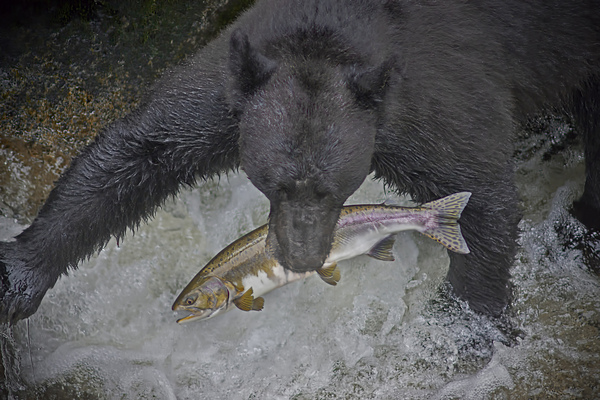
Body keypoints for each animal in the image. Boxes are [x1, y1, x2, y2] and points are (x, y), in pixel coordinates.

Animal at [1, 0, 600, 324]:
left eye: (334, 189)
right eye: (274, 184)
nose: (302, 258)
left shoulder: (426, 99)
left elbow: (480, 192)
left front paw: (461, 324)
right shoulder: (235, 89)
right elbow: (145, 150)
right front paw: (19, 277)